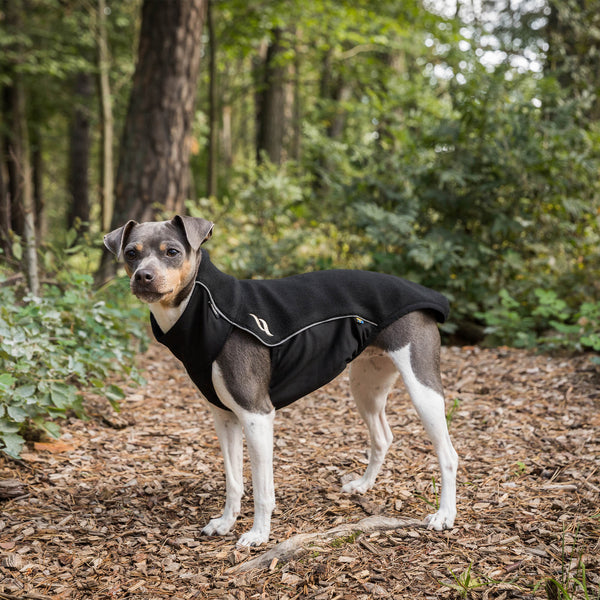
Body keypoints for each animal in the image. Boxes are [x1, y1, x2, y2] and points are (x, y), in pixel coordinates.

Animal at [104, 217, 460, 548]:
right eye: (131, 253)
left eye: (173, 252)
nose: (143, 276)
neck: (205, 310)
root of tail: (426, 292)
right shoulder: (224, 417)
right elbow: (234, 480)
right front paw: (225, 522)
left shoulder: (257, 415)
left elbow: (262, 488)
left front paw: (258, 534)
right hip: (365, 385)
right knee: (383, 437)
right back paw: (363, 485)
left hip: (422, 389)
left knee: (448, 454)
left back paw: (444, 515)